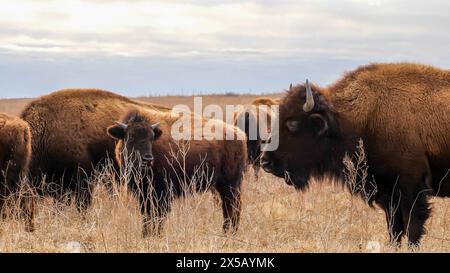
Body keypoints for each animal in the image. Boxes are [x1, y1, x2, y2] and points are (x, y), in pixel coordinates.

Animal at [107, 107, 248, 235]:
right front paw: (145, 234)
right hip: (223, 186)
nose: (147, 159)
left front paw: (157, 234)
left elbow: (159, 215)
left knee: (233, 207)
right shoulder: (144, 194)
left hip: (230, 185)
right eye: (130, 137)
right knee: (229, 208)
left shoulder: (163, 193)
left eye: (151, 138)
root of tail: (240, 134)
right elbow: (147, 215)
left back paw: (229, 233)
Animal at [262, 62, 450, 245]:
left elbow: (412, 228)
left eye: (292, 123)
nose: (266, 162)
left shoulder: (411, 189)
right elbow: (395, 229)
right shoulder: (388, 193)